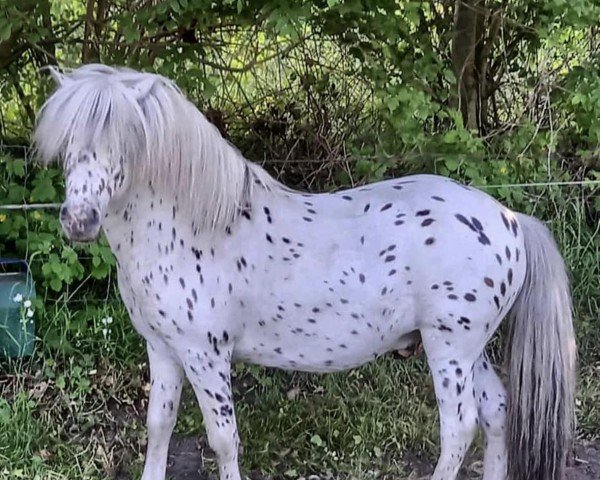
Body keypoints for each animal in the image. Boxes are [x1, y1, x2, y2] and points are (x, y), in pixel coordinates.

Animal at [32, 64, 576, 480]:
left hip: (450, 350)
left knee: (460, 427)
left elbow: (223, 438)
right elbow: (158, 424)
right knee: (497, 412)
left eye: (127, 144)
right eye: (67, 143)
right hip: (467, 349)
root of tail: (509, 219)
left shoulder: (205, 355)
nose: (78, 221)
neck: (193, 226)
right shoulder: (163, 348)